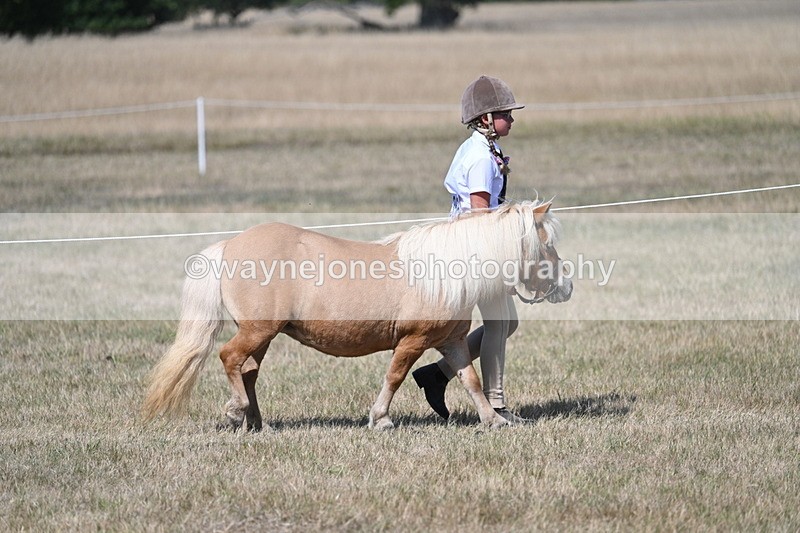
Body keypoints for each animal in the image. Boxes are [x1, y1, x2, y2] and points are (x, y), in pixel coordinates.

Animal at [142, 200, 572, 431]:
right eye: (548, 245)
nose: (566, 287)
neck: (445, 271)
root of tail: (231, 244)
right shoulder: (413, 340)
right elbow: (395, 377)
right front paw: (380, 418)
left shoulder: (449, 340)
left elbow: (471, 379)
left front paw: (493, 420)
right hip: (257, 331)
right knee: (230, 358)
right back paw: (236, 413)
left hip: (262, 335)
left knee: (247, 371)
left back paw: (255, 422)